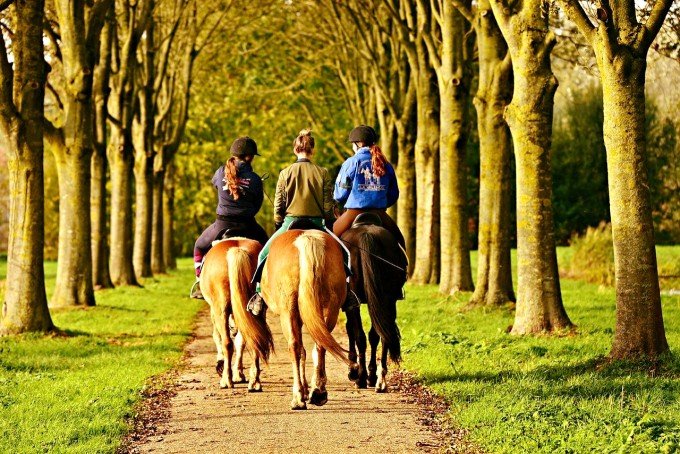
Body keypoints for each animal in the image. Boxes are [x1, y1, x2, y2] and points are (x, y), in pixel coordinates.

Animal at [201, 238, 274, 390]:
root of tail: (237, 250)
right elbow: (241, 341)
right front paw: (239, 374)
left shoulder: (214, 311)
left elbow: (217, 336)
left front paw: (221, 365)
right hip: (256, 309)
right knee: (254, 339)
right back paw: (255, 382)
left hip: (220, 309)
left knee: (227, 342)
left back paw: (226, 380)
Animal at [342, 222, 406, 392]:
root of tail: (367, 234)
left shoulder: (350, 305)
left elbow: (351, 330)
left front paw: (353, 371)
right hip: (388, 300)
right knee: (383, 334)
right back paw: (379, 379)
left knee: (361, 336)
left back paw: (362, 377)